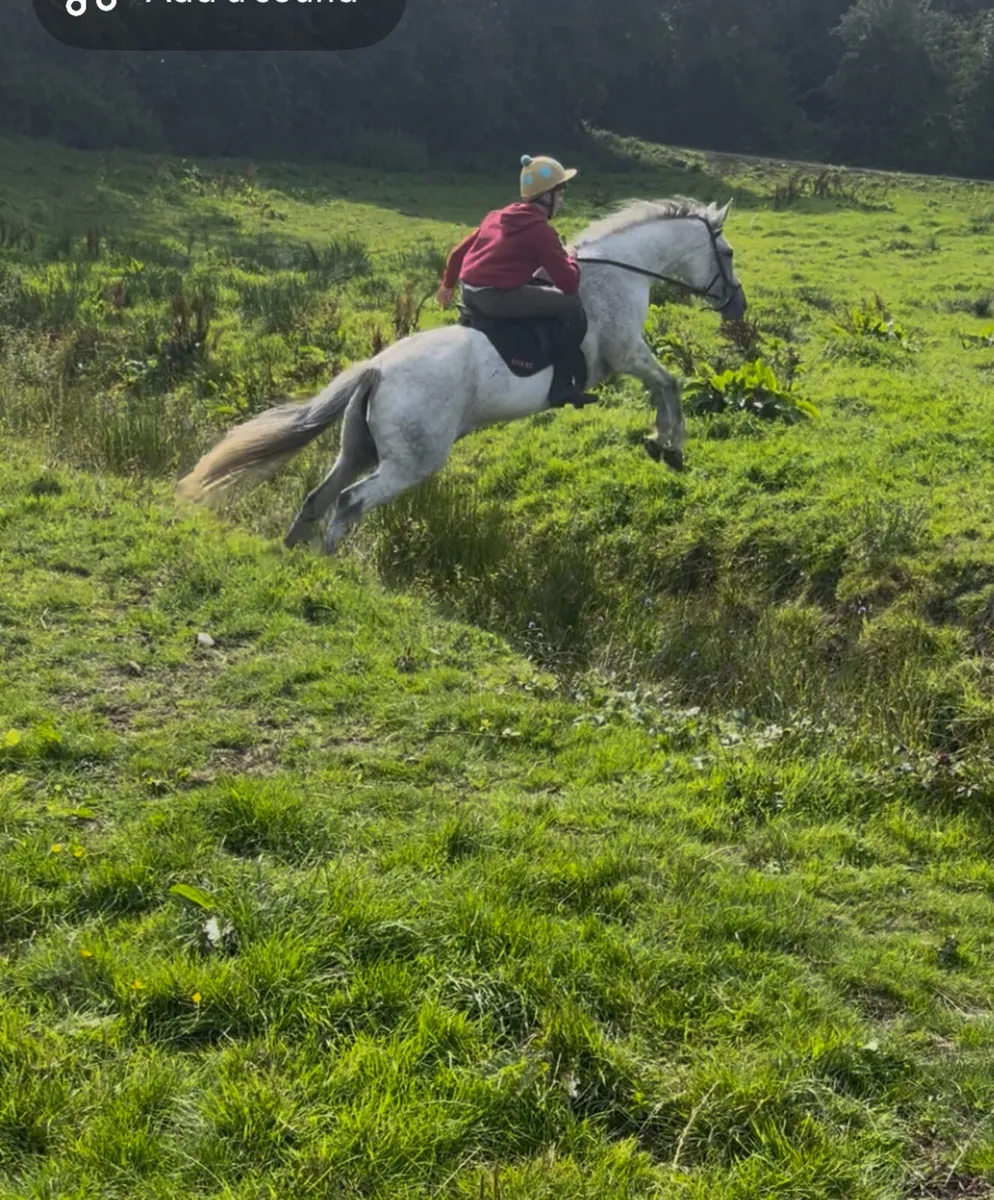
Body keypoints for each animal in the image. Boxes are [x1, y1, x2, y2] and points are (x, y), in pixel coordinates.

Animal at [176, 196, 747, 553]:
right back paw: (328, 564)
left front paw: (662, 442)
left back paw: (292, 555)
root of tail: (375, 370)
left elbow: (665, 385)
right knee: (348, 502)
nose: (737, 305)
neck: (619, 271)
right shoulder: (627, 354)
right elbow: (669, 383)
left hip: (359, 447)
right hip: (411, 463)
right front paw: (669, 444)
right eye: (727, 252)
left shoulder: (628, 357)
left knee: (319, 498)